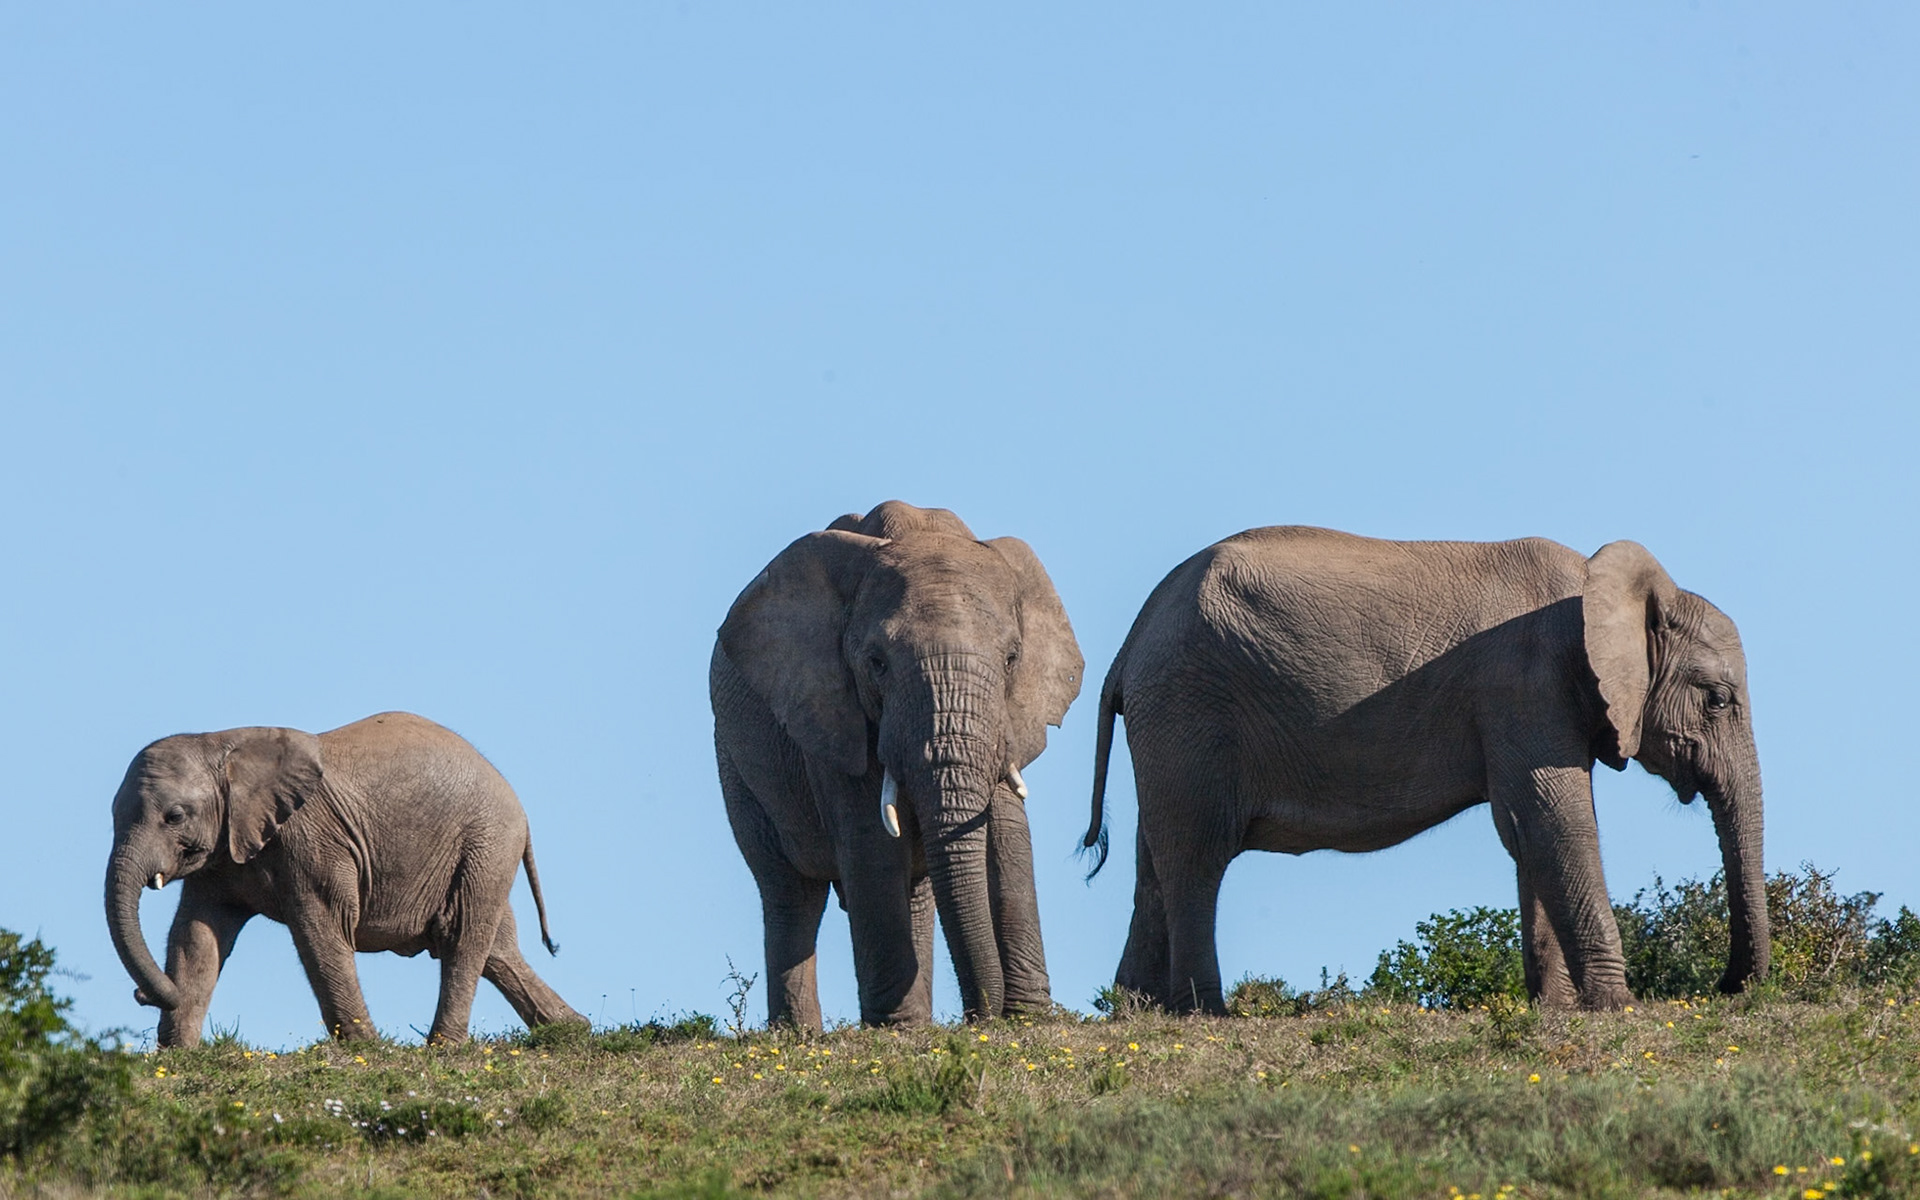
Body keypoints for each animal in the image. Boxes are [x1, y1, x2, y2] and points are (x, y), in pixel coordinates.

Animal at [106, 711, 586, 1047]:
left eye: (174, 816)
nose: (142, 995)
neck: (223, 743)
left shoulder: (311, 839)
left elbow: (321, 927)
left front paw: (367, 1049)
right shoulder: (224, 852)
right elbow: (196, 936)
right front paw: (179, 1054)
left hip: (487, 841)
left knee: (464, 935)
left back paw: (443, 1048)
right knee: (495, 947)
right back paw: (571, 1030)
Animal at [711, 501, 1083, 1029]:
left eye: (1012, 658)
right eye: (876, 663)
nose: (979, 1017)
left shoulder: (1010, 716)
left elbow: (1009, 832)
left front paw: (1029, 1018)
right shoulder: (831, 711)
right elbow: (870, 841)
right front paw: (896, 1030)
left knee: (914, 890)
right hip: (736, 761)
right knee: (790, 893)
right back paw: (800, 1036)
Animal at [1084, 527, 1767, 1013]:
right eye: (1717, 700)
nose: (1727, 987)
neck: (1599, 581)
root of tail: (1126, 648)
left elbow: (1530, 832)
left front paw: (1555, 1011)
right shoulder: (1526, 682)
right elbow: (1555, 821)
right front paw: (1618, 1008)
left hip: (1171, 727)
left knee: (1155, 861)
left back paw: (1137, 1013)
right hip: (1189, 708)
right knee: (1197, 855)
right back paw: (1206, 1015)